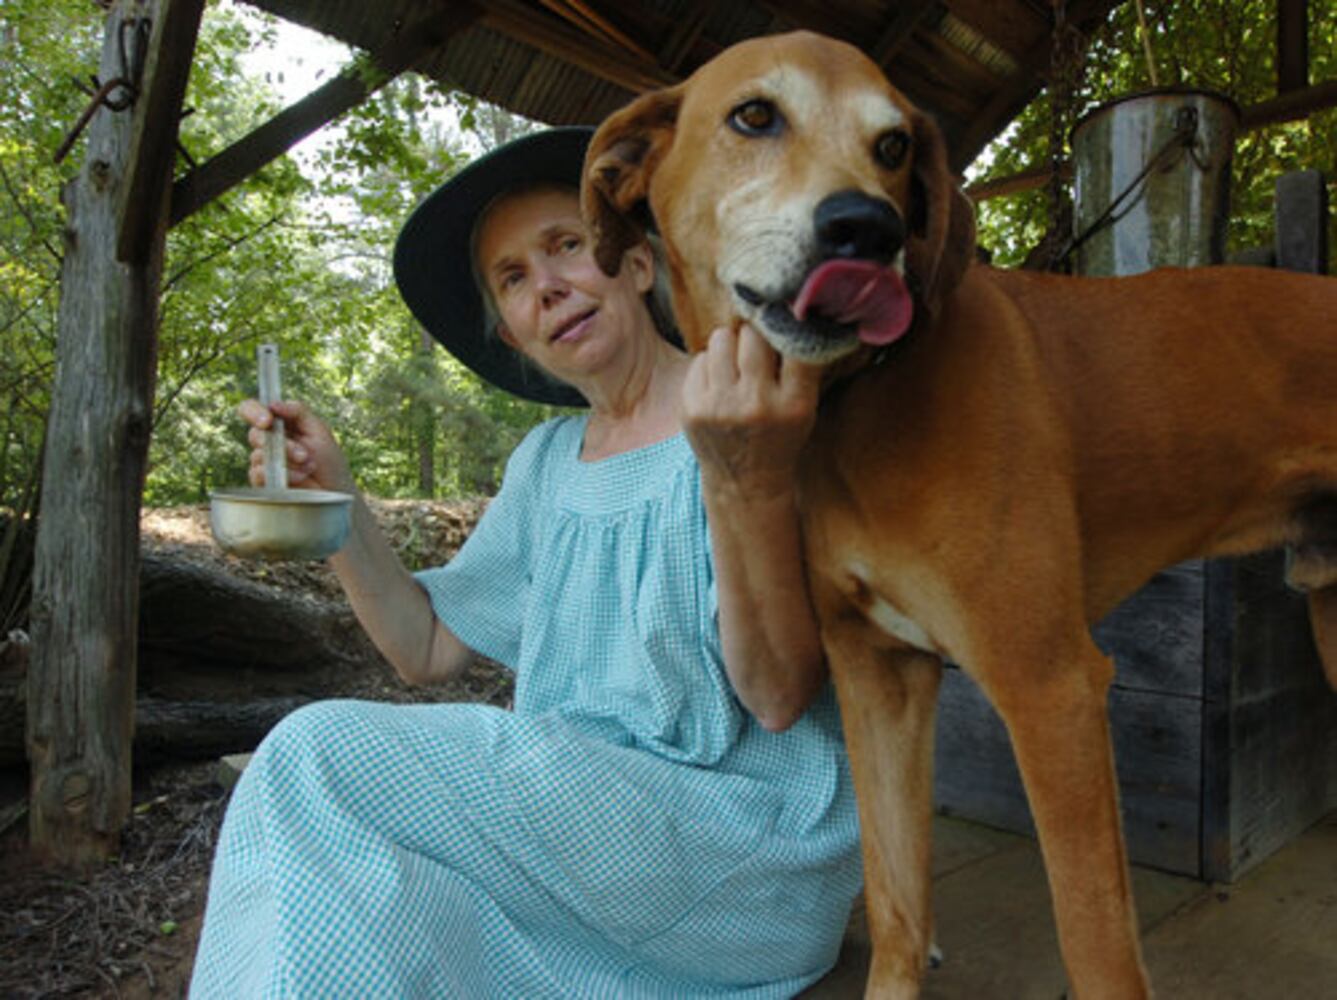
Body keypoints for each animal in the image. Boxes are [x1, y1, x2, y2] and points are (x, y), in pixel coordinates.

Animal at [580, 27, 1337, 994]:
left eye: (894, 145)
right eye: (753, 115)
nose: (868, 228)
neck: (856, 402)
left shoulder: (1049, 687)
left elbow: (1094, 943)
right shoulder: (878, 676)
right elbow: (895, 900)